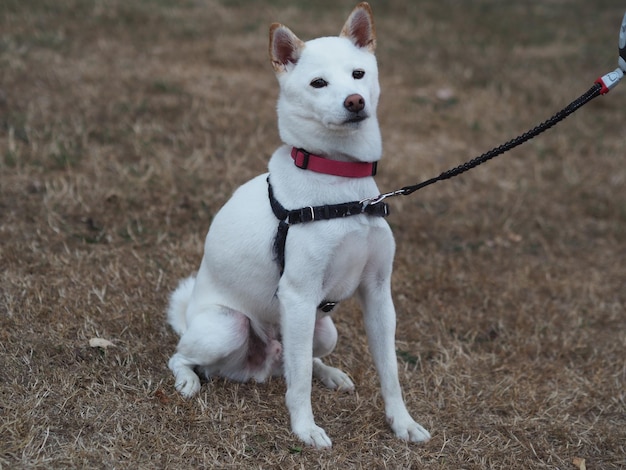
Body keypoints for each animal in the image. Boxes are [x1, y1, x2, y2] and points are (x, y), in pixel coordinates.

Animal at [166, 1, 428, 446]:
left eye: (359, 74)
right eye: (318, 83)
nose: (355, 101)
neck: (340, 182)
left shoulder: (378, 293)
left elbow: (389, 370)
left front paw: (402, 423)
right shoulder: (299, 294)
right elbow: (300, 379)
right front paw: (305, 429)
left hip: (324, 330)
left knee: (296, 360)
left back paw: (332, 374)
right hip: (228, 326)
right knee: (185, 356)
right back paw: (188, 380)